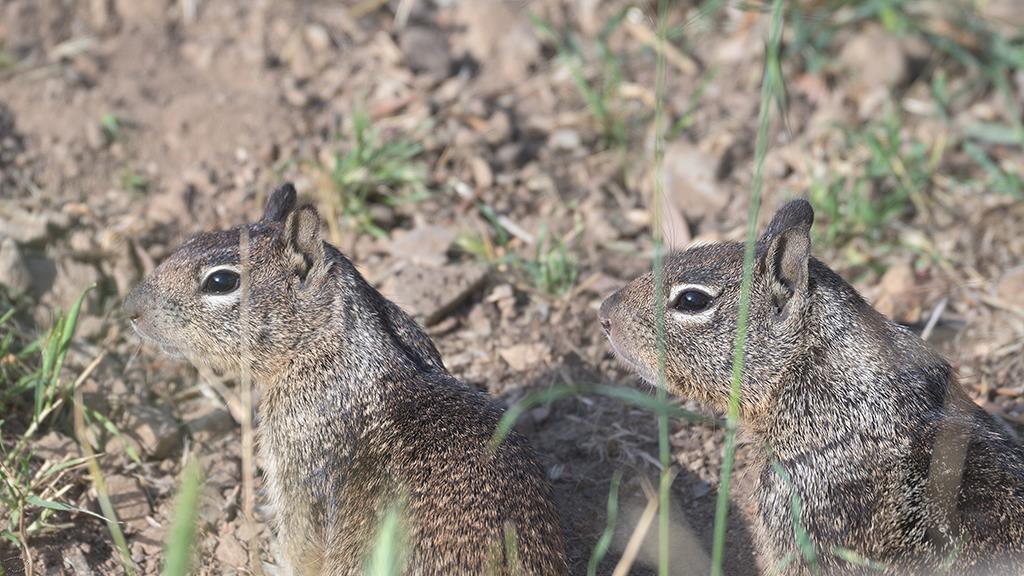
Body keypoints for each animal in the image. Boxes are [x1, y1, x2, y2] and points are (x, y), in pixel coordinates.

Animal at [123, 183, 569, 573]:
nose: (130, 308)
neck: (327, 345)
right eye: (194, 236)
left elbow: (300, 546)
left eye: (221, 281)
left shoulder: (298, 472)